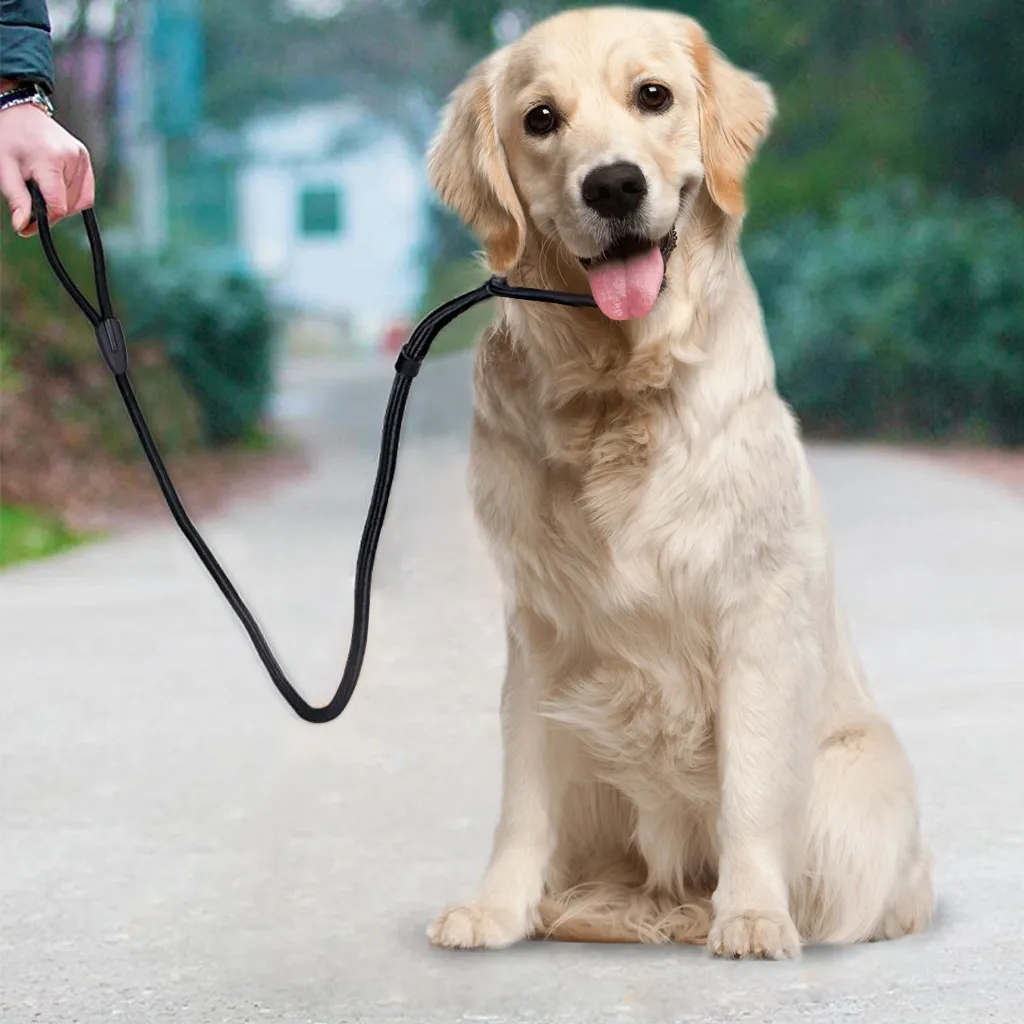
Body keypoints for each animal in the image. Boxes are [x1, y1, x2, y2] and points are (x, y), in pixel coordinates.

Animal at [419, 6, 933, 958]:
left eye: (651, 96)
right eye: (540, 119)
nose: (614, 185)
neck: (618, 387)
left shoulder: (753, 615)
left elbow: (750, 790)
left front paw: (753, 913)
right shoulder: (540, 631)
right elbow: (523, 796)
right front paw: (496, 906)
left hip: (854, 780)